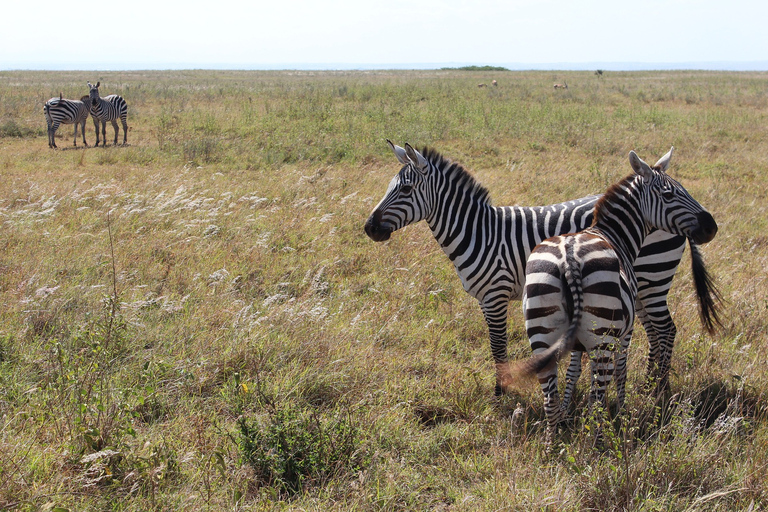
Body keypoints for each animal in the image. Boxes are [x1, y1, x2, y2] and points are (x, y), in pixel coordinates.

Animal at [364, 142, 720, 398]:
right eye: (391, 186)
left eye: (405, 190)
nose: (369, 228)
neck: (480, 232)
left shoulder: (494, 295)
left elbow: (497, 345)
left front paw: (500, 394)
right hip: (640, 284)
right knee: (656, 331)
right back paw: (650, 387)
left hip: (652, 276)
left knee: (665, 329)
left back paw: (658, 391)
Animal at [520, 149, 716, 440]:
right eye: (669, 195)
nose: (711, 227)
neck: (614, 235)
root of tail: (569, 258)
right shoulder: (625, 331)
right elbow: (621, 370)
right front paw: (623, 411)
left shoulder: (577, 339)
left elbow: (574, 370)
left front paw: (570, 409)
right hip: (605, 334)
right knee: (599, 393)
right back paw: (600, 437)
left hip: (541, 328)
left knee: (550, 399)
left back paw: (552, 443)